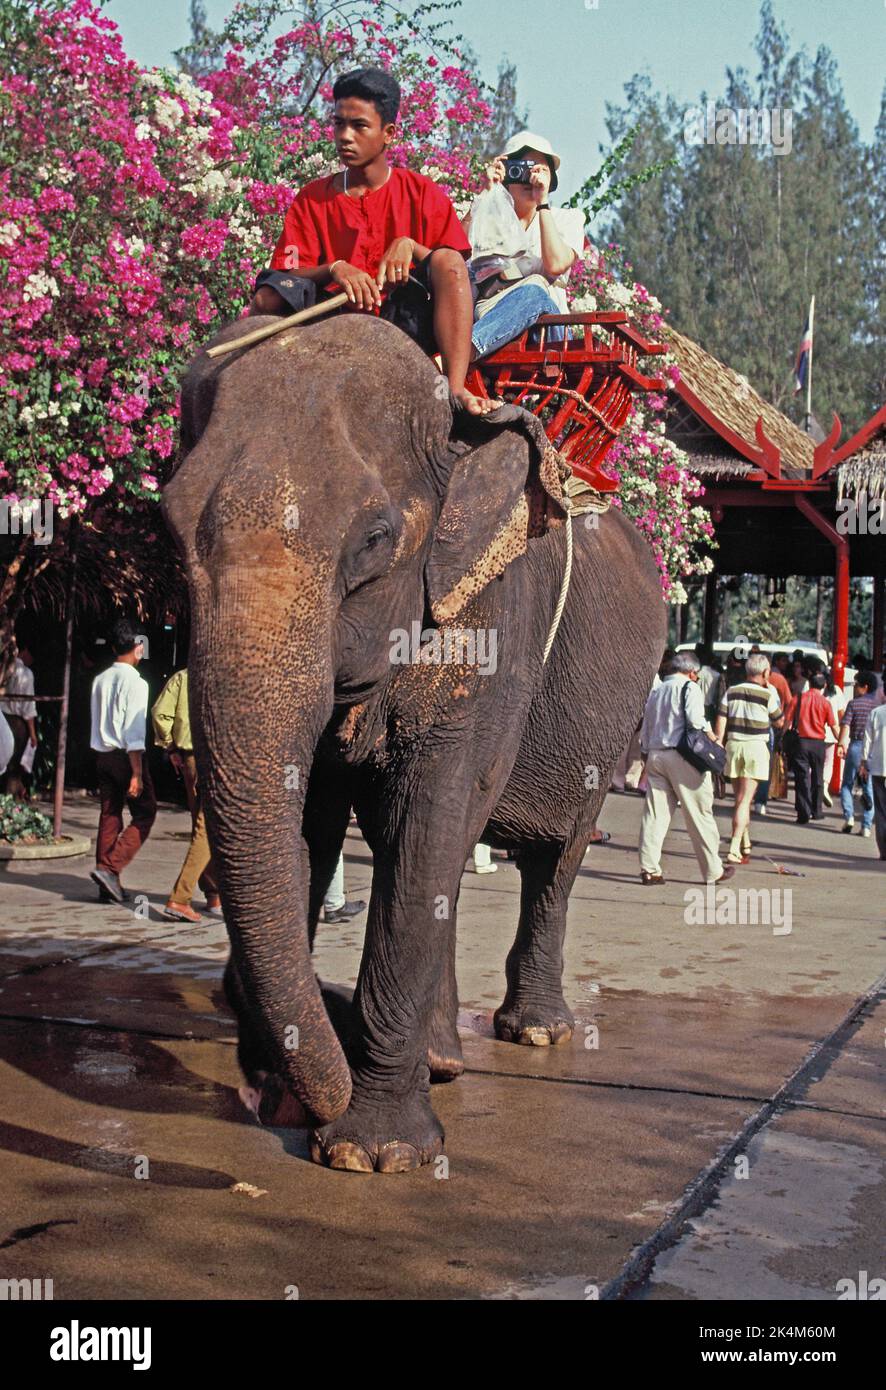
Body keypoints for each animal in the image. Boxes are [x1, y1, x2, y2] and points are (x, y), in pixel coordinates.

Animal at [164, 312, 662, 1173]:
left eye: (374, 540)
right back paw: (442, 1058)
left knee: (552, 859)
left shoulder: (491, 624)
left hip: (623, 716)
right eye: (169, 524)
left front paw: (377, 1154)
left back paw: (534, 1032)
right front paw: (302, 1098)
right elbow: (315, 825)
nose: (272, 1094)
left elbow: (430, 812)